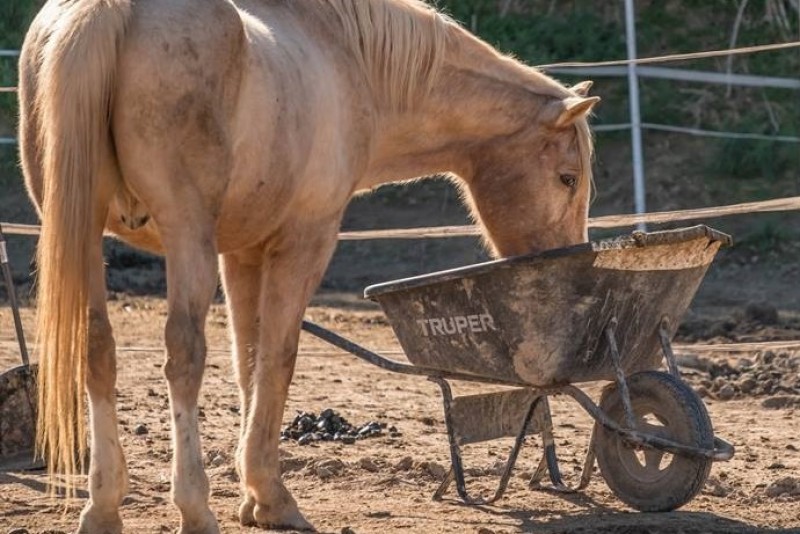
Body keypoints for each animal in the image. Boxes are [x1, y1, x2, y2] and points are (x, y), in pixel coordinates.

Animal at [18, 0, 596, 532]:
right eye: (568, 178)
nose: (571, 267)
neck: (348, 59)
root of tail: (110, 11)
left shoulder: (242, 255)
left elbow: (248, 362)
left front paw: (252, 497)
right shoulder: (304, 243)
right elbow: (278, 359)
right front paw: (273, 499)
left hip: (87, 236)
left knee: (97, 349)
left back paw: (103, 506)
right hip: (185, 237)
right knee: (183, 356)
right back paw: (194, 507)